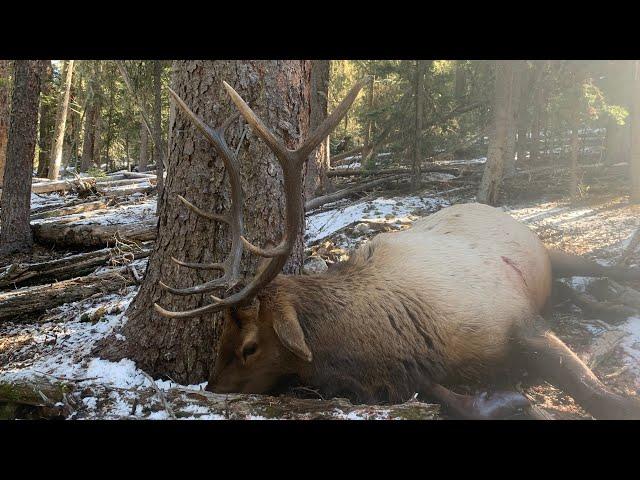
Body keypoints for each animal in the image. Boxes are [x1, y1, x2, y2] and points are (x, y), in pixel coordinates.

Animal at [155, 77, 640, 418]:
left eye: (250, 346)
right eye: (221, 335)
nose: (211, 387)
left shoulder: (518, 319)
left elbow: (603, 399)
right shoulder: (415, 373)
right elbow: (451, 398)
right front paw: (509, 400)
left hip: (545, 250)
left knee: (602, 268)